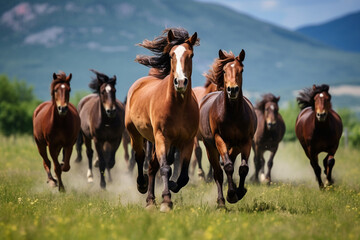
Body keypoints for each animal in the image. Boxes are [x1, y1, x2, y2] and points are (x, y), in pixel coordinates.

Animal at [125, 27, 200, 212]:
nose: (180, 82)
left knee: (152, 166)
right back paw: (142, 185)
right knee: (140, 158)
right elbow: (165, 168)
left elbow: (184, 176)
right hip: (136, 134)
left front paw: (172, 186)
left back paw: (150, 201)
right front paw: (166, 201)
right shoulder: (162, 137)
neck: (178, 105)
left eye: (191, 55)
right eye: (172, 55)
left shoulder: (188, 141)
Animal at [198, 49, 258, 207]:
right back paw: (221, 201)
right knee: (218, 171)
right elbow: (228, 167)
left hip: (235, 146)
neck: (232, 114)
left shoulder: (246, 141)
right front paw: (231, 195)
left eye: (241, 70)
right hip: (210, 147)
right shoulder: (219, 139)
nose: (232, 90)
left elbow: (243, 168)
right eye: (224, 71)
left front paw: (240, 191)